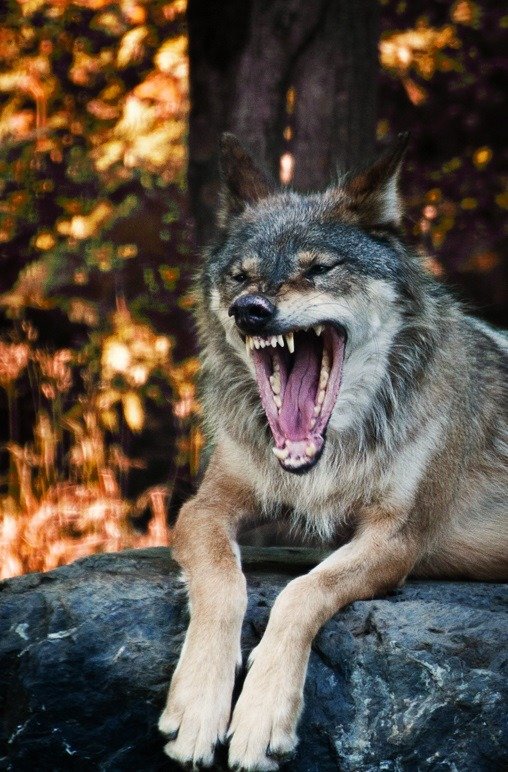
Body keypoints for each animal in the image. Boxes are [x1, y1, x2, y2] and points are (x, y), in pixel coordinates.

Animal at [159, 133, 508, 771]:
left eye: (319, 268)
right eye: (240, 277)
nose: (251, 309)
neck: (328, 459)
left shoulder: (396, 541)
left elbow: (302, 592)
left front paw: (260, 716)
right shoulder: (204, 507)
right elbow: (223, 583)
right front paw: (198, 707)